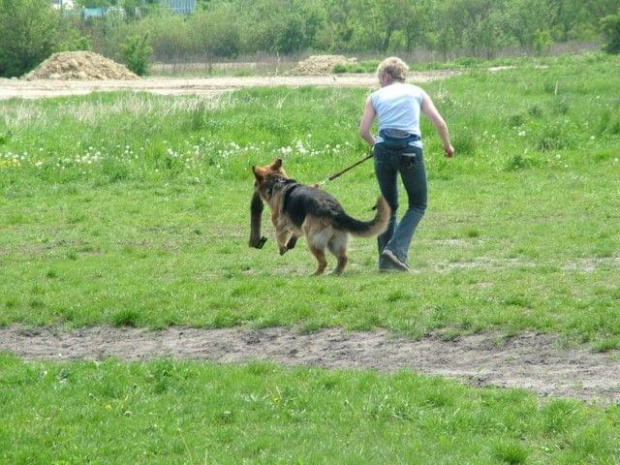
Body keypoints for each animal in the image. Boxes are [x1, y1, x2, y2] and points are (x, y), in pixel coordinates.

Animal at [251, 158, 388, 274]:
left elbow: (279, 238)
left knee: (323, 262)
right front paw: (290, 244)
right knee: (343, 258)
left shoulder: (279, 225)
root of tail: (335, 211)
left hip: (312, 239)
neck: (277, 181)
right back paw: (335, 273)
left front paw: (282, 249)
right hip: (334, 242)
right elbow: (295, 234)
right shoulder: (297, 224)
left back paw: (315, 274)